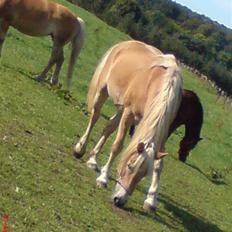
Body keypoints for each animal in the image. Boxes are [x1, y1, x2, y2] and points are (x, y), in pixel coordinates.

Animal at [74, 40, 183, 211]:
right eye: (130, 166)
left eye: (144, 175)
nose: (119, 200)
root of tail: (124, 44)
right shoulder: (129, 113)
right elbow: (117, 146)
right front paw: (103, 179)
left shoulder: (163, 129)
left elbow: (159, 164)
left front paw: (151, 201)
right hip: (104, 92)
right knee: (94, 118)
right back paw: (80, 148)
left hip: (121, 107)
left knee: (108, 127)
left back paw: (93, 160)